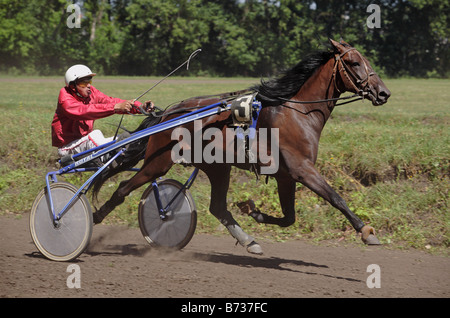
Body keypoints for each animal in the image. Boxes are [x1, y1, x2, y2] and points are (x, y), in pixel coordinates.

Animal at [90, 39, 390, 255]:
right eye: (353, 62)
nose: (383, 93)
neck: (297, 113)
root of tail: (170, 113)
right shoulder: (302, 169)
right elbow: (335, 197)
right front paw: (366, 231)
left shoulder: (286, 175)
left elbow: (289, 218)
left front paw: (251, 210)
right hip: (158, 162)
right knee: (122, 188)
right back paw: (93, 219)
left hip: (217, 167)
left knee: (217, 208)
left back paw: (248, 241)